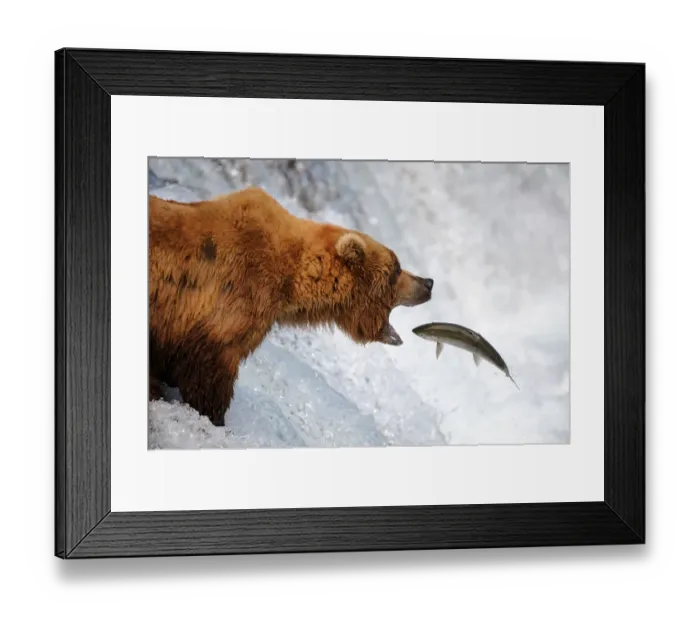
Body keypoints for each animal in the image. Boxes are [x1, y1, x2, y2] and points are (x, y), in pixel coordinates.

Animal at [148, 186, 434, 427]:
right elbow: (208, 371)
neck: (291, 279)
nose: (428, 283)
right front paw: (213, 417)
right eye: (396, 269)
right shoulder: (229, 300)